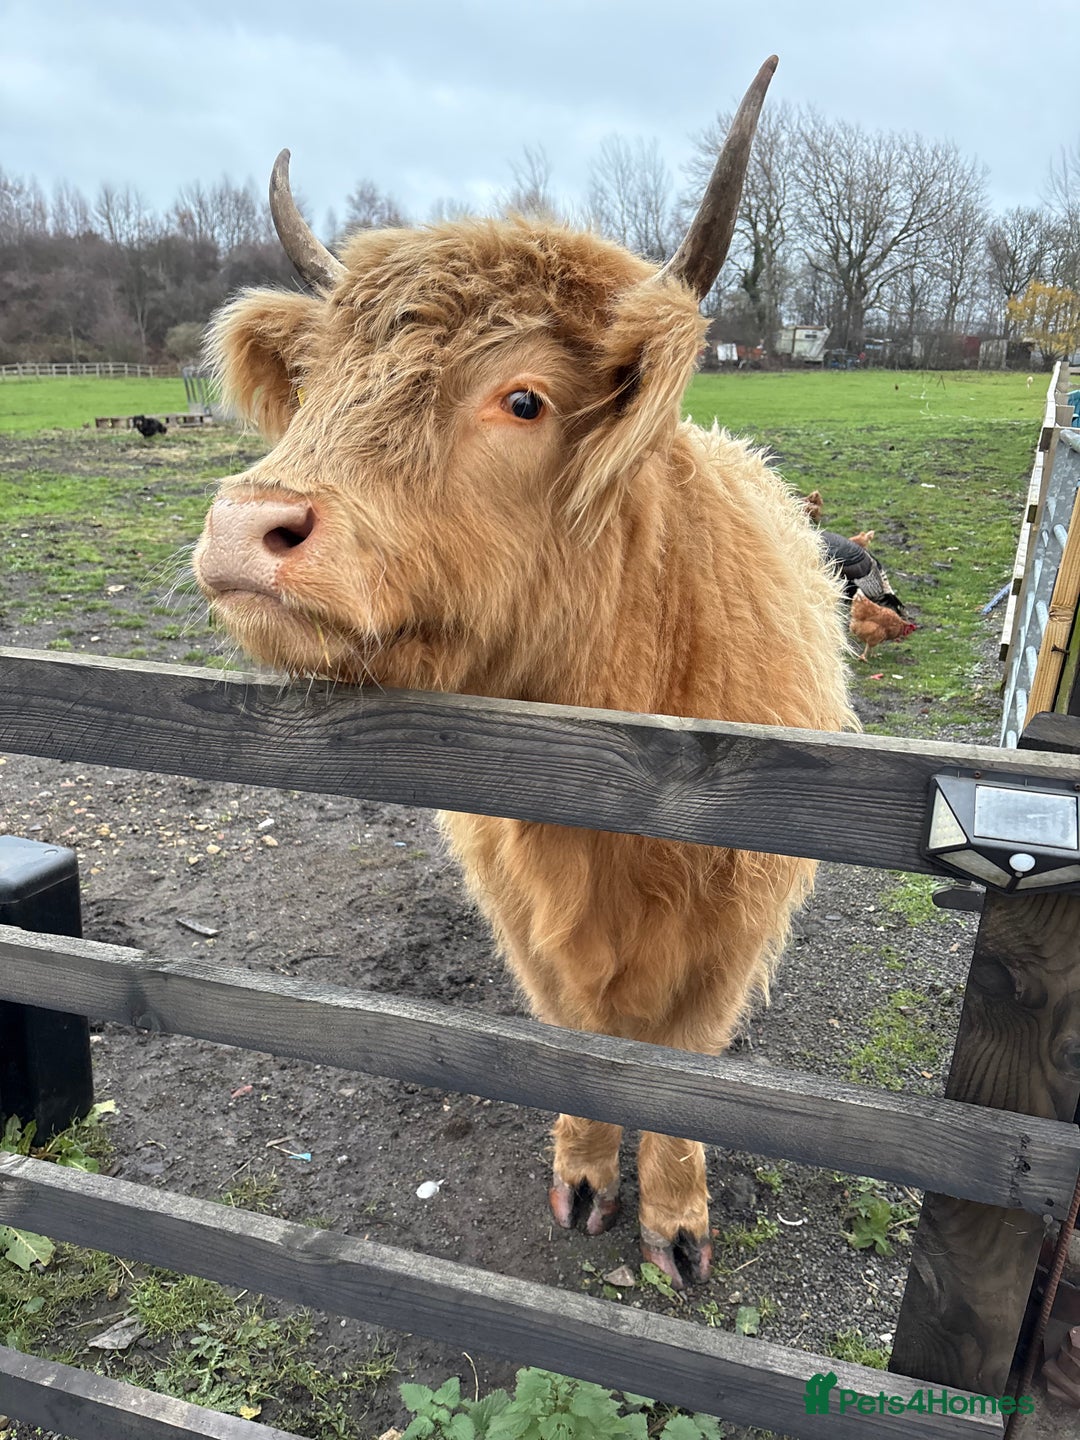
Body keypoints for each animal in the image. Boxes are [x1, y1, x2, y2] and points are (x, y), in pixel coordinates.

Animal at [193, 57, 855, 1288]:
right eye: (318, 384)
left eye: (524, 398)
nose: (248, 525)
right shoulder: (525, 917)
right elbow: (578, 1046)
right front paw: (587, 1175)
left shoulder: (730, 928)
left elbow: (685, 1074)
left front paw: (677, 1222)